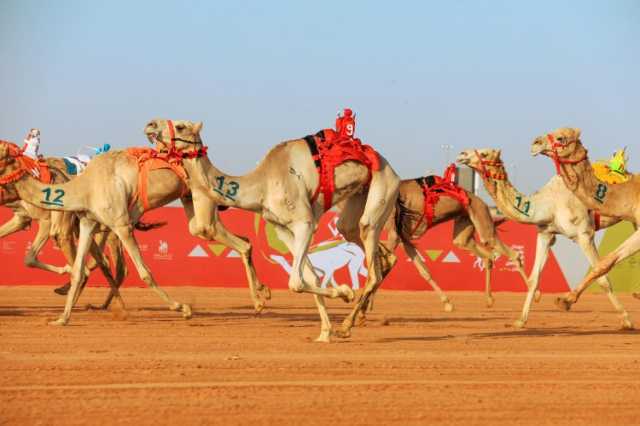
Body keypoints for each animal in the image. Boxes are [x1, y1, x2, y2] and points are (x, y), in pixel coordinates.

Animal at [0, 141, 272, 324]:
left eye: (3, 157)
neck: (84, 186)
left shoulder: (121, 224)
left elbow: (145, 273)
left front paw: (183, 308)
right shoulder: (88, 222)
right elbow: (78, 271)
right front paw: (61, 319)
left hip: (203, 198)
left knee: (234, 240)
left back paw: (259, 301)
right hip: (192, 203)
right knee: (234, 239)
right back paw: (262, 296)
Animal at [144, 117, 400, 342]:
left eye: (180, 126)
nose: (150, 124)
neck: (261, 186)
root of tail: (392, 168)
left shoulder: (305, 222)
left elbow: (296, 282)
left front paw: (345, 292)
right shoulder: (282, 228)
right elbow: (311, 277)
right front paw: (324, 333)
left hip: (383, 187)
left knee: (371, 259)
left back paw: (347, 325)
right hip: (355, 203)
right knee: (359, 237)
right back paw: (363, 305)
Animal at [458, 147, 632, 330]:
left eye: (485, 154)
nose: (462, 154)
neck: (548, 204)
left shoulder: (584, 234)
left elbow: (603, 278)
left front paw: (626, 320)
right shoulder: (545, 234)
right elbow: (534, 279)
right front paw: (520, 320)